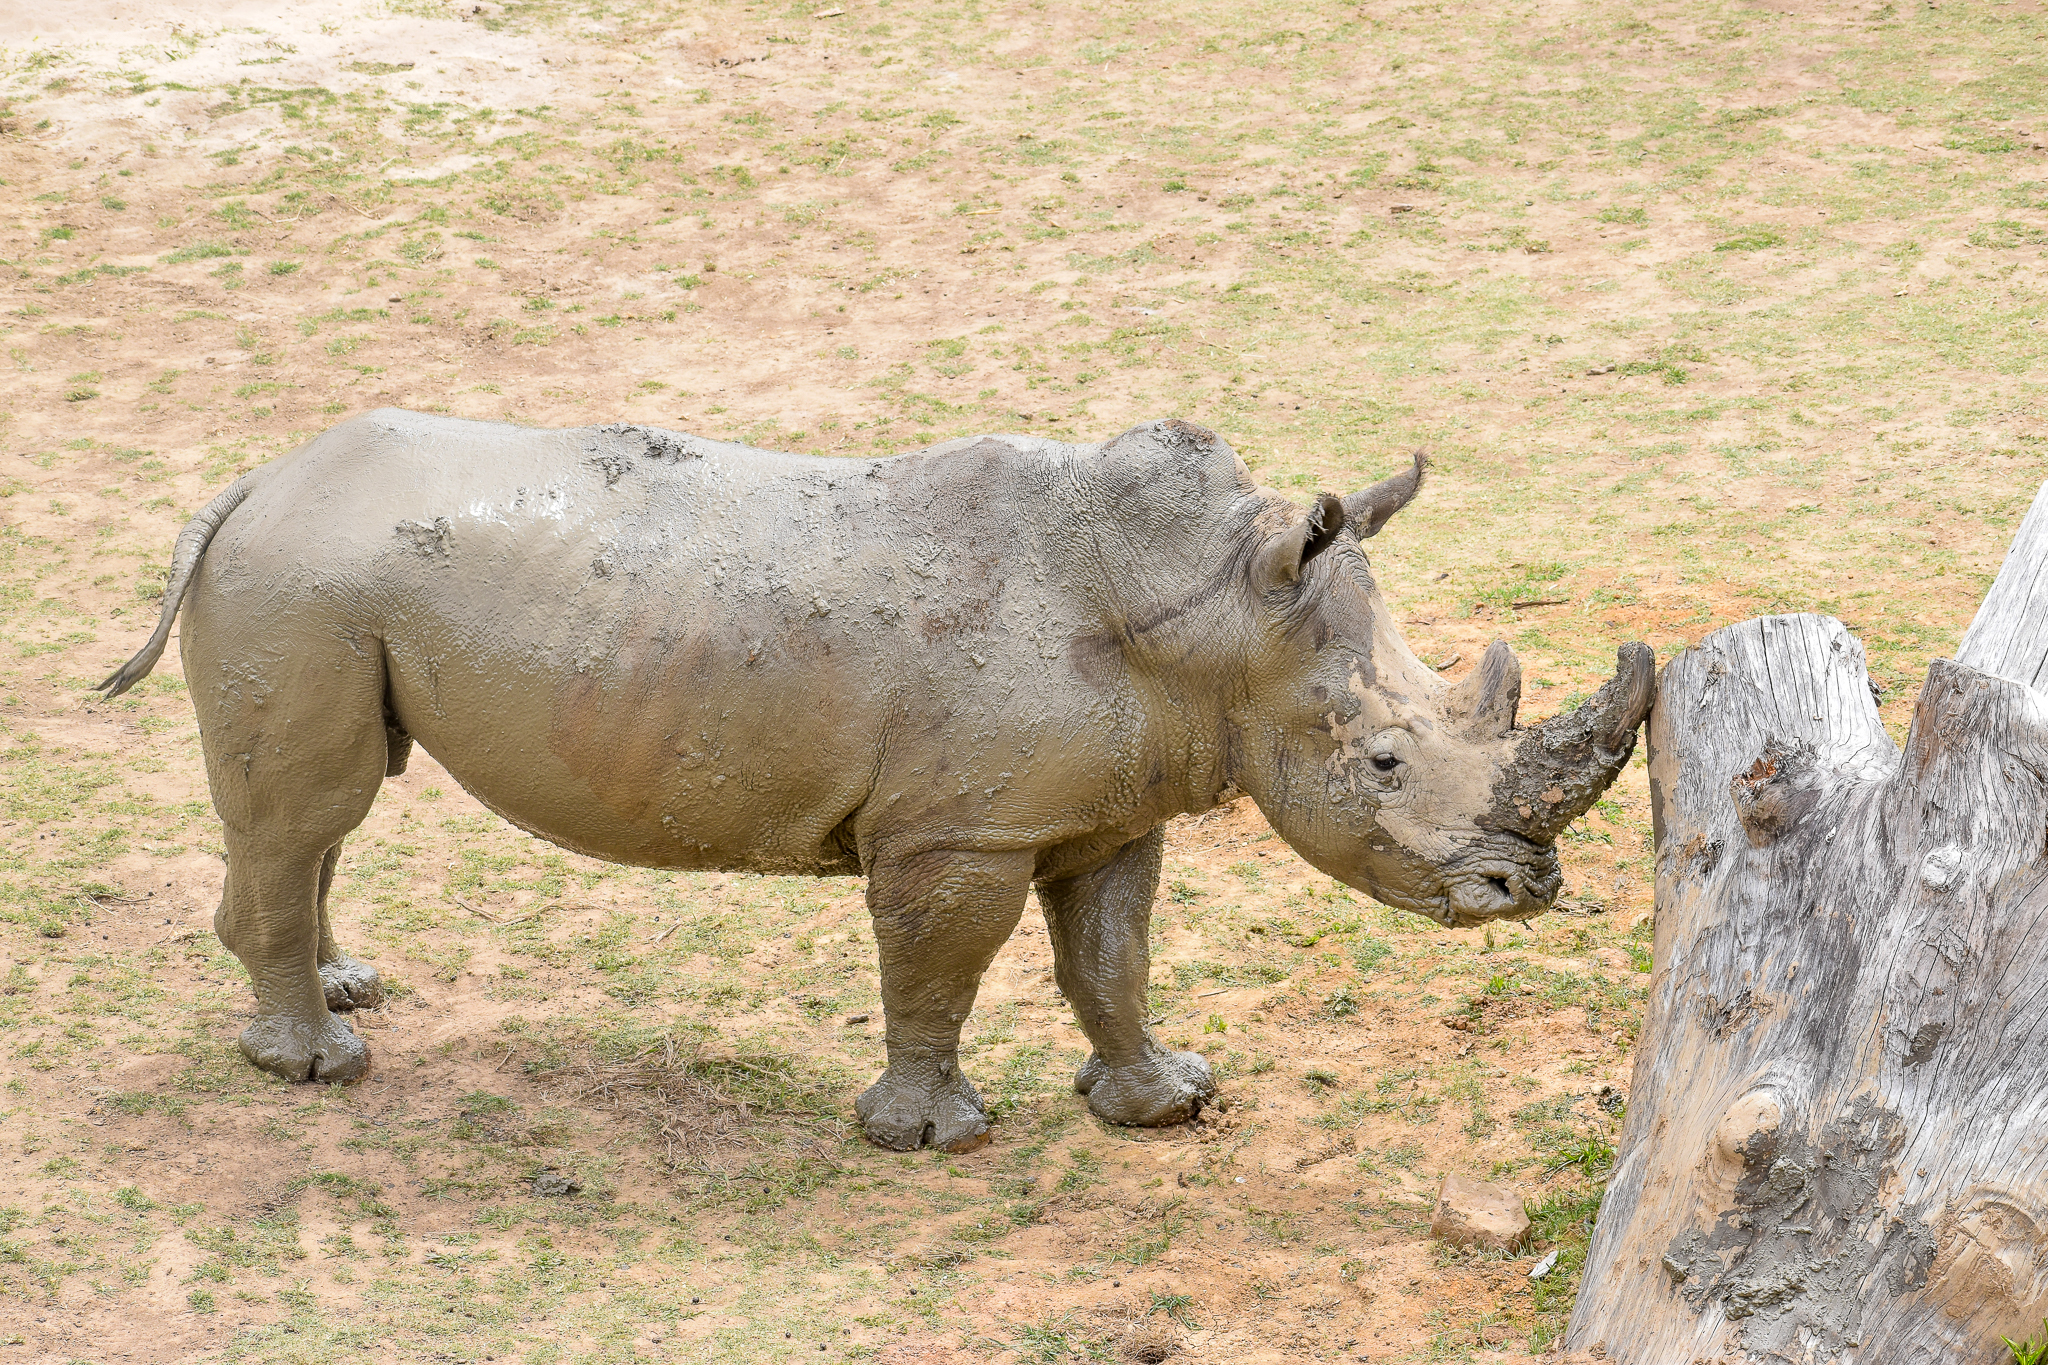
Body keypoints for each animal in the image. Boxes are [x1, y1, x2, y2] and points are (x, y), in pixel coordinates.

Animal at [98, 411, 1651, 1151]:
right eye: (1384, 758)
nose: (1526, 886)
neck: (1214, 612)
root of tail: (252, 482)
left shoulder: (1104, 804)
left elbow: (1111, 956)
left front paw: (1163, 1104)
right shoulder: (957, 827)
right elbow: (939, 969)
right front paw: (928, 1139)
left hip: (326, 589)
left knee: (317, 817)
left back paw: (345, 992)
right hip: (303, 586)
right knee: (307, 812)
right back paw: (318, 1068)